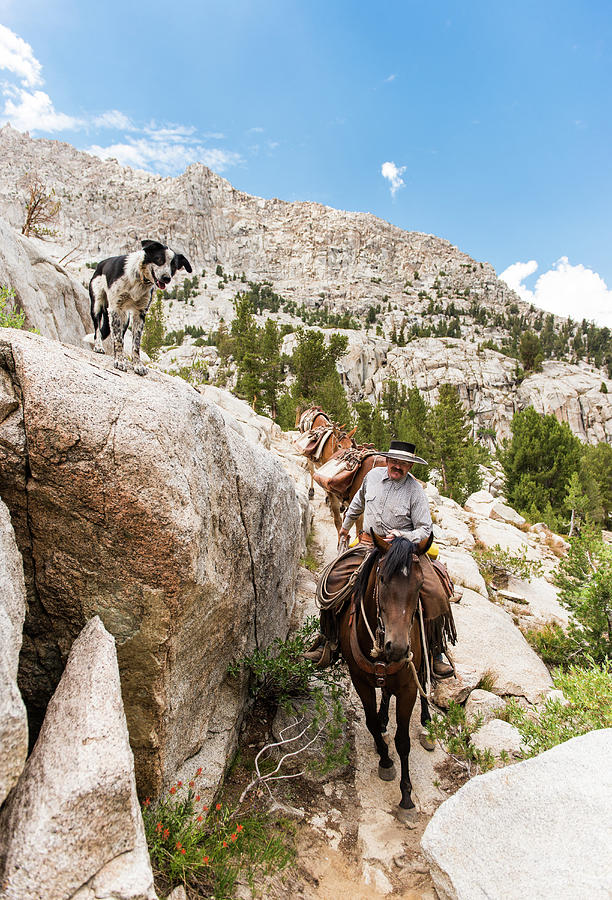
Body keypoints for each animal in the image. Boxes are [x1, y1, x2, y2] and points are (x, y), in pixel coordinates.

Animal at [89, 237, 191, 374]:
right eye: (159, 259)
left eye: (173, 266)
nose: (166, 278)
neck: (140, 278)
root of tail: (101, 264)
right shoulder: (115, 308)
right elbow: (118, 340)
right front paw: (119, 361)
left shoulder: (140, 313)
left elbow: (135, 343)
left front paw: (137, 364)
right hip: (97, 305)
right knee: (97, 330)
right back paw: (98, 346)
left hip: (125, 317)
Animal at [338, 536, 432, 824]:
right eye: (382, 579)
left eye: (420, 584)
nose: (398, 648)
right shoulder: (360, 681)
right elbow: (369, 722)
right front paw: (385, 760)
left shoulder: (408, 689)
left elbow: (403, 741)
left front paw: (407, 798)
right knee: (386, 694)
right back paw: (383, 719)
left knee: (425, 678)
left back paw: (427, 722)